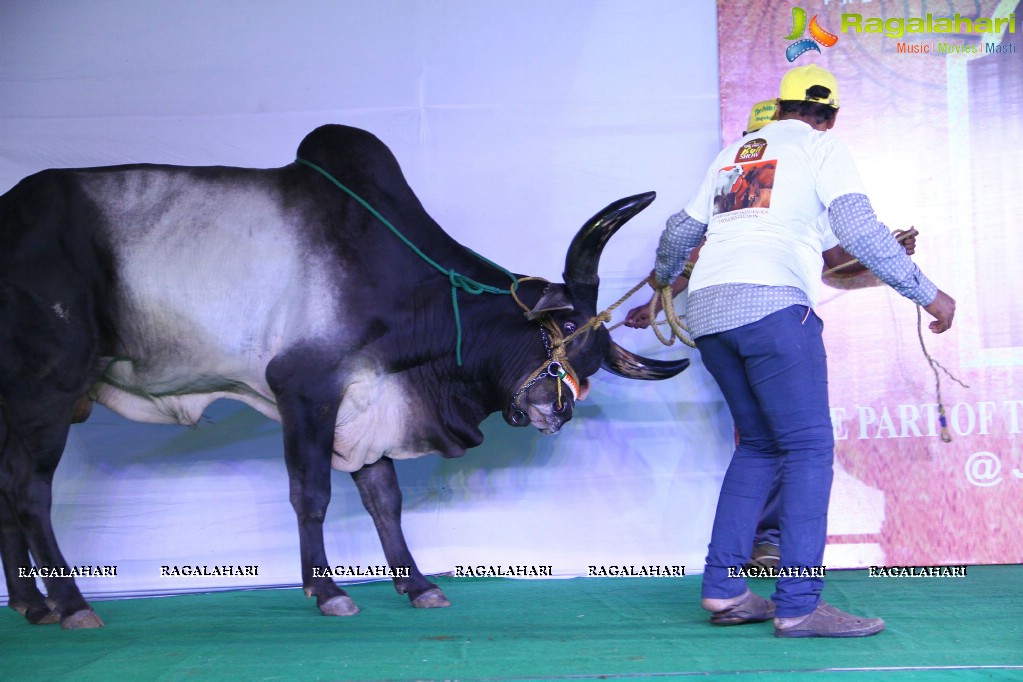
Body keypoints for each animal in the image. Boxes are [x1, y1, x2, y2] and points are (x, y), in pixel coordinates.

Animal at [1, 124, 687, 629]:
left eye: (593, 360)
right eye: (561, 328)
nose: (556, 411)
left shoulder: (366, 404)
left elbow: (385, 499)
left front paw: (418, 585)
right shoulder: (305, 388)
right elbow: (312, 493)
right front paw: (327, 590)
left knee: (8, 490)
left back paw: (34, 605)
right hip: (50, 389)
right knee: (32, 491)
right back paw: (72, 605)